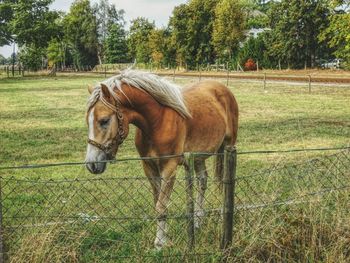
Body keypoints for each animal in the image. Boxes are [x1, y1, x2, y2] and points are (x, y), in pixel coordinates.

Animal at [85, 70, 238, 250]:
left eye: (104, 121)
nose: (91, 164)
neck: (157, 122)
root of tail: (223, 89)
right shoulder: (150, 168)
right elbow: (157, 203)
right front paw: (161, 239)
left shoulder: (169, 169)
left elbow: (161, 206)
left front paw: (159, 243)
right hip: (198, 156)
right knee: (202, 180)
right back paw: (198, 221)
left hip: (228, 146)